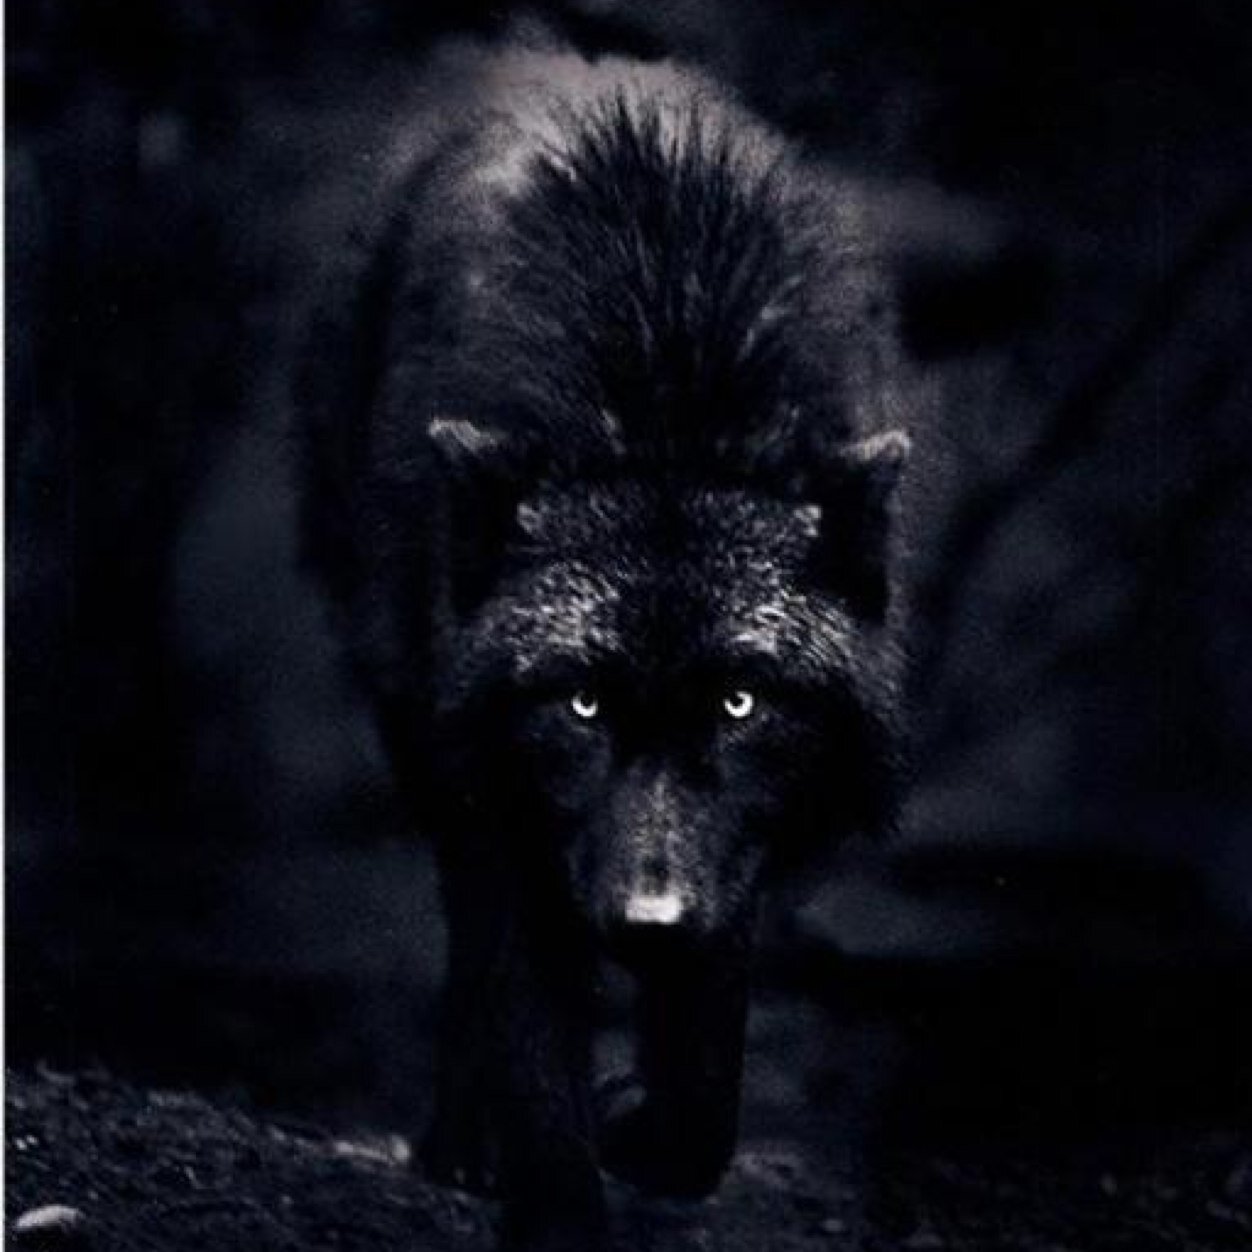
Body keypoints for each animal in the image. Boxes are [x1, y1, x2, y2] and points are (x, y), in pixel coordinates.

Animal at [299, 47, 910, 1252]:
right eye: (579, 704)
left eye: (739, 703)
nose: (648, 921)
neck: (662, 369)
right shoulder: (514, 809)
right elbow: (535, 1042)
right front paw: (551, 1181)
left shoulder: (731, 849)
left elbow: (705, 1089)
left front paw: (641, 1120)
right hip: (427, 737)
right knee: (472, 948)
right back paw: (461, 1141)